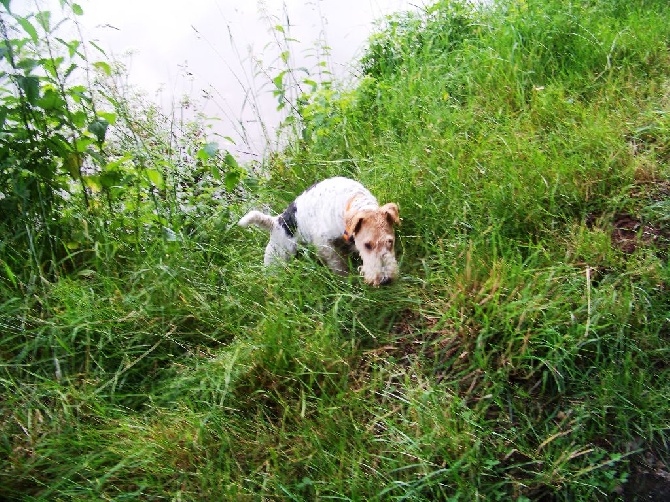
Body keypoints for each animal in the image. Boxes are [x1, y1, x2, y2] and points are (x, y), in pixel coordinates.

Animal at [239, 176, 402, 286]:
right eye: (367, 245)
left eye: (390, 241)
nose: (385, 280)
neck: (352, 201)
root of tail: (276, 222)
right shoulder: (324, 244)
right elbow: (337, 265)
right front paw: (346, 281)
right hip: (275, 260)